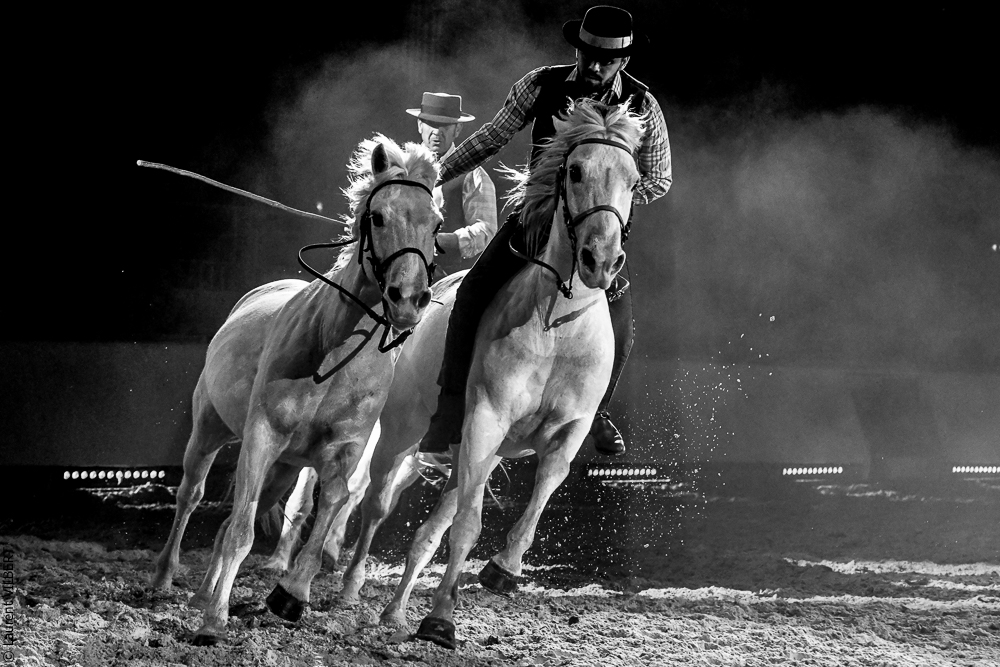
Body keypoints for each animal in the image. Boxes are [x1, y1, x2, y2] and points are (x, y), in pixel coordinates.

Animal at [148, 134, 443, 646]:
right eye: (379, 216)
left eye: (437, 223)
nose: (408, 300)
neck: (333, 348)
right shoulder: (262, 436)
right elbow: (242, 532)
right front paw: (215, 622)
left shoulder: (344, 452)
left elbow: (328, 514)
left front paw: (291, 595)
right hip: (210, 430)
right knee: (192, 497)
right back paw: (170, 577)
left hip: (284, 469)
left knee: (228, 521)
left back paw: (204, 594)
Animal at [337, 99, 645, 648]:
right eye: (575, 171)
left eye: (633, 181)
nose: (601, 260)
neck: (557, 324)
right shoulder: (485, 419)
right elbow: (467, 527)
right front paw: (441, 620)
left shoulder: (566, 433)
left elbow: (539, 495)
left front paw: (503, 569)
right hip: (402, 436)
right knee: (375, 505)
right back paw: (350, 589)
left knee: (424, 534)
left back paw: (394, 613)